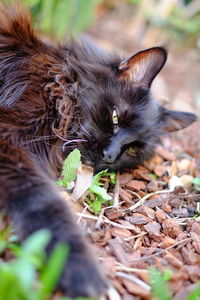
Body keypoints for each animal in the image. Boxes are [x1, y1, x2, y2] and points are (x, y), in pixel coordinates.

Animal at [0, 4, 197, 298]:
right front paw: (77, 268)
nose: (110, 155)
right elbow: (44, 203)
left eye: (132, 149)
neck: (56, 82)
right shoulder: (9, 141)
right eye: (115, 118)